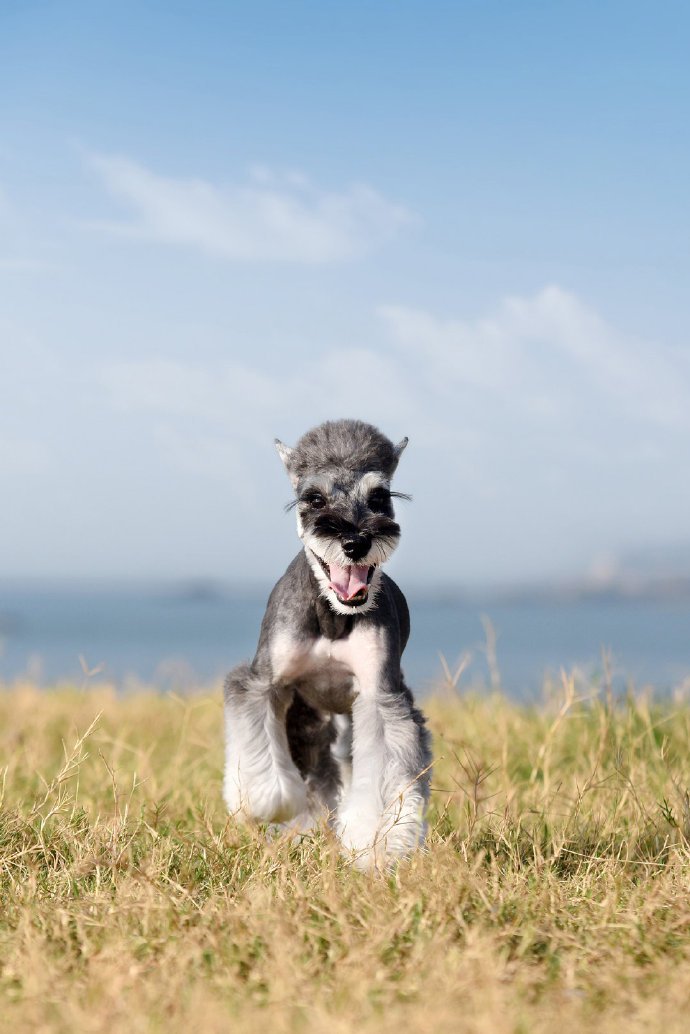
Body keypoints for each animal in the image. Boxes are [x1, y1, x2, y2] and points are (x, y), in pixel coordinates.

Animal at [224, 415, 432, 868]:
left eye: (379, 497)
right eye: (315, 499)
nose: (355, 542)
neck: (333, 617)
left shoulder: (380, 696)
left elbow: (381, 779)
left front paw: (374, 843)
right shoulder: (264, 684)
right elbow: (264, 762)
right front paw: (266, 804)